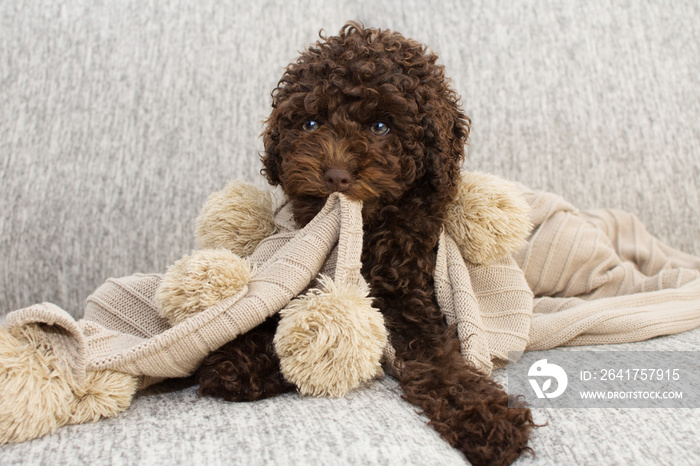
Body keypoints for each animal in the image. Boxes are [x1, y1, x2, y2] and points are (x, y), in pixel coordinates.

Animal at [194, 21, 532, 466]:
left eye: (381, 127)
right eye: (311, 123)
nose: (336, 176)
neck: (368, 230)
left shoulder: (411, 297)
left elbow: (438, 360)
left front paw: (487, 417)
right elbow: (268, 308)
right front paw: (239, 359)